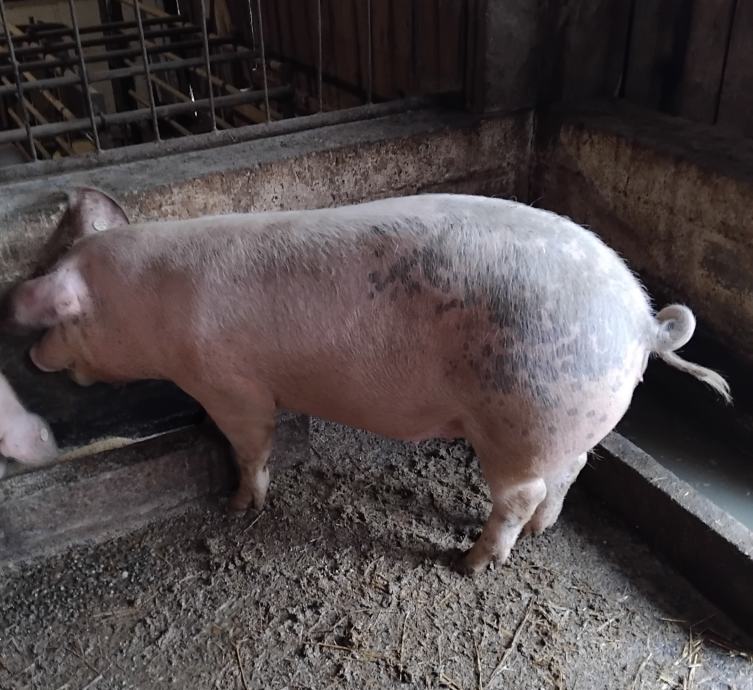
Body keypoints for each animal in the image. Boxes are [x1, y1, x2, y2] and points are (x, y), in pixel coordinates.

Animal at [0, 188, 730, 572]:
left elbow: (251, 442)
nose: (31, 357)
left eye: (61, 318)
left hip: (520, 416)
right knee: (568, 473)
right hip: (565, 421)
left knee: (520, 493)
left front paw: (238, 505)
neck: (152, 302)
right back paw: (539, 535)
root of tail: (640, 320)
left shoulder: (230, 382)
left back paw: (474, 562)